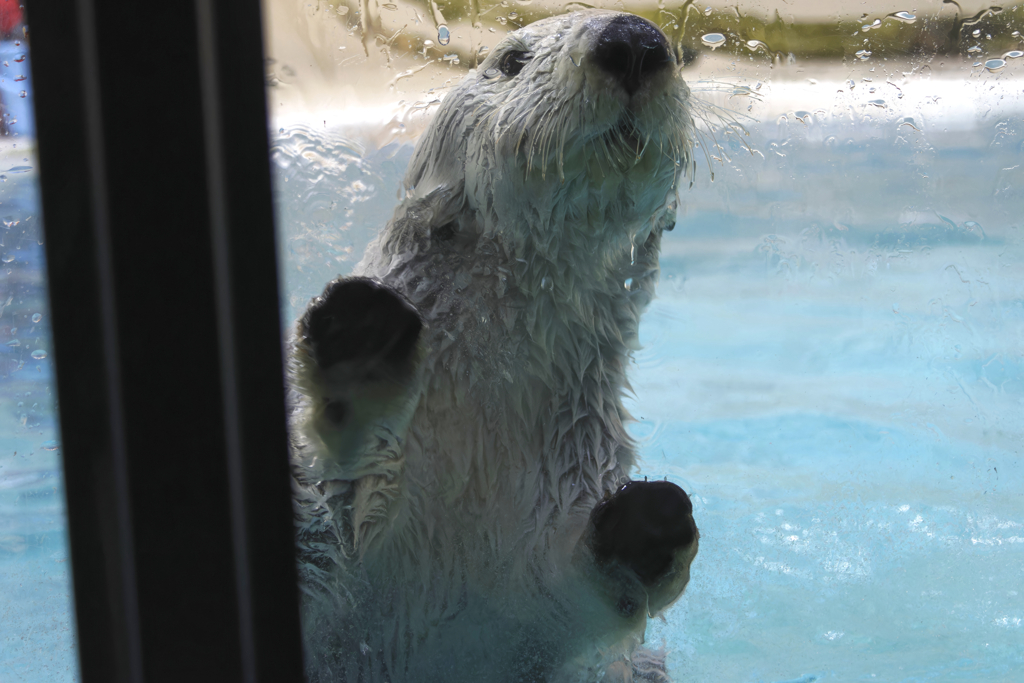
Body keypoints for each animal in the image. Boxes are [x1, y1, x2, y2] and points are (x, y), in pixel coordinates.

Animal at [292, 10, 700, 683]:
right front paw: (358, 348)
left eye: (664, 41)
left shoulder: (567, 488)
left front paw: (648, 526)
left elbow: (555, 610)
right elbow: (325, 517)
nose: (633, 40)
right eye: (510, 60)